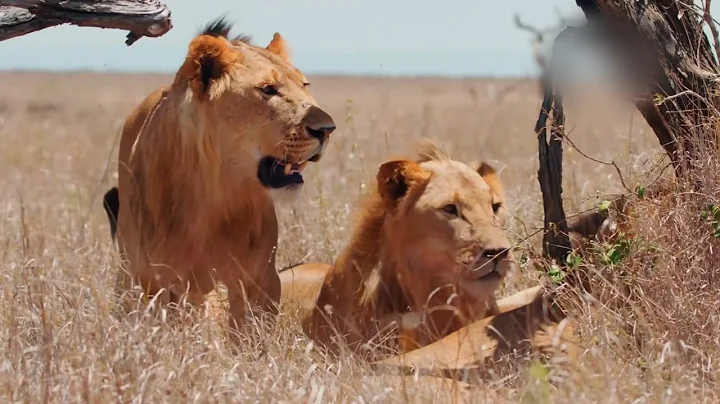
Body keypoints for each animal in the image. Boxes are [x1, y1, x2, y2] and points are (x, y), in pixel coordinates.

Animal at [101, 16, 336, 335]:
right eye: (268, 89)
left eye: (304, 84)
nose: (327, 128)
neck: (215, 193)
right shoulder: (154, 278)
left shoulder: (259, 278)